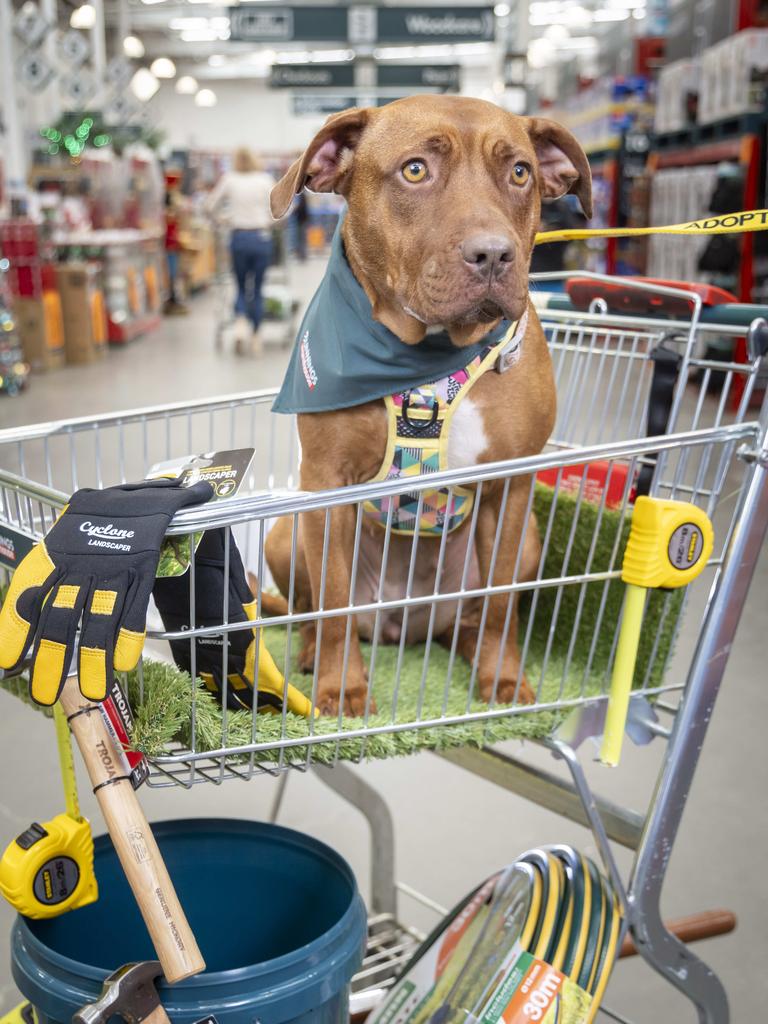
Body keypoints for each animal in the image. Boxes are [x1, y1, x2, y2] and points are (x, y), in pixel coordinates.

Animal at [268, 96, 593, 712]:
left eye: (520, 173)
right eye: (415, 170)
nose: (493, 254)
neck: (431, 355)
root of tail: (405, 625)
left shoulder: (511, 487)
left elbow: (501, 604)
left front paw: (502, 678)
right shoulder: (327, 485)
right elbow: (334, 603)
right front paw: (342, 689)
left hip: (530, 539)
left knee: (476, 615)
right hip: (286, 531)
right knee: (314, 614)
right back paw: (311, 656)